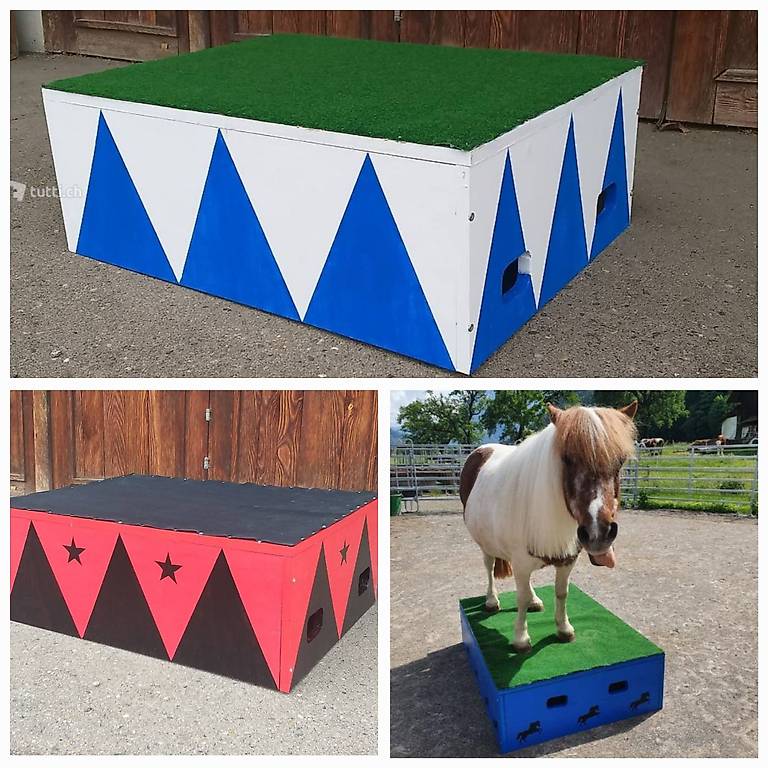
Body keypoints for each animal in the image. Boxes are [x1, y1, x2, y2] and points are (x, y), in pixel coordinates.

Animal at [460, 401, 638, 654]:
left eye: (621, 461)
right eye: (567, 458)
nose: (599, 534)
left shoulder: (567, 560)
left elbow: (561, 592)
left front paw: (564, 629)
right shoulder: (520, 562)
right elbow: (520, 598)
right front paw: (521, 638)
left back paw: (534, 600)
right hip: (485, 544)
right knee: (489, 566)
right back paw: (492, 600)